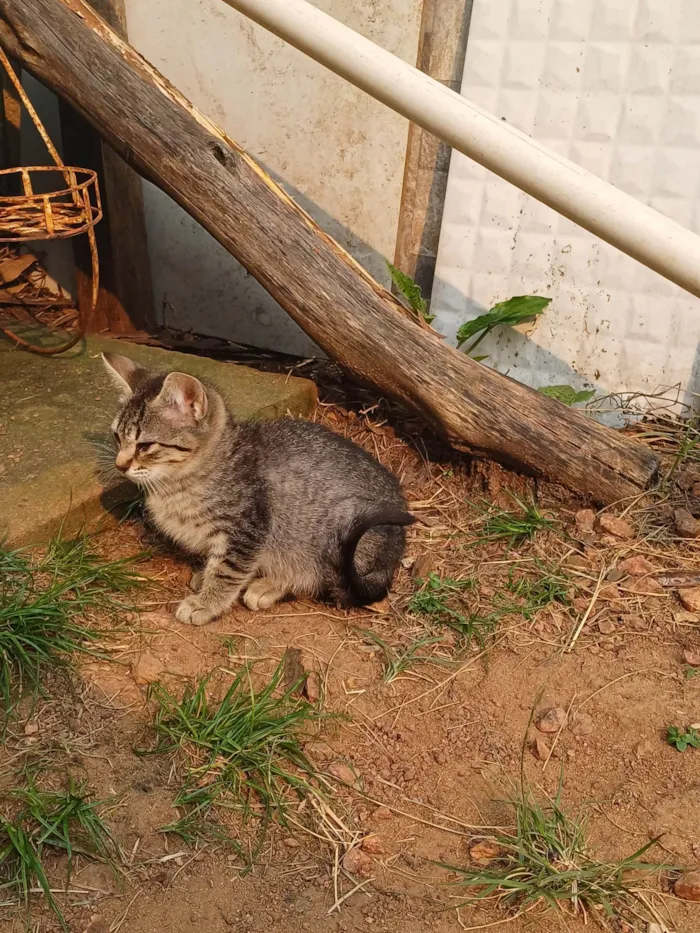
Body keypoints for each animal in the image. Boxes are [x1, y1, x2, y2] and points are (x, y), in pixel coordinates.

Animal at [104, 352, 416, 628]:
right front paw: (205, 576)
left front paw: (206, 602)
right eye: (117, 437)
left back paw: (269, 585)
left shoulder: (247, 530)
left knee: (322, 577)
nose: (120, 465)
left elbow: (227, 570)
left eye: (145, 445)